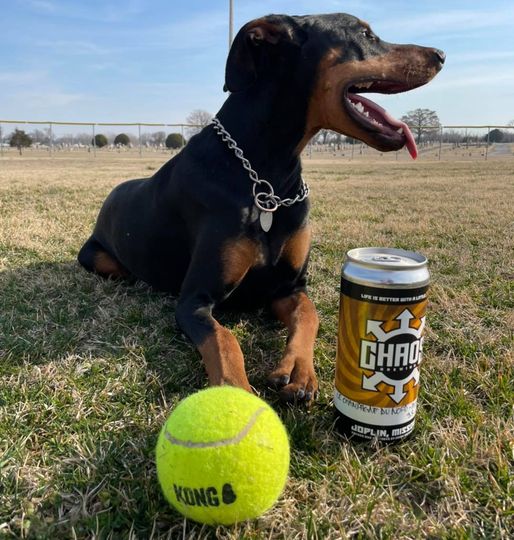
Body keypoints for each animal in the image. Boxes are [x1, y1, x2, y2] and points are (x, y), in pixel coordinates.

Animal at [78, 12, 442, 402]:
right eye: (364, 33)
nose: (440, 54)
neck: (267, 180)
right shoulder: (194, 298)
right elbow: (223, 339)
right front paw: (234, 392)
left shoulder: (288, 287)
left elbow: (310, 315)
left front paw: (297, 370)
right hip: (95, 257)